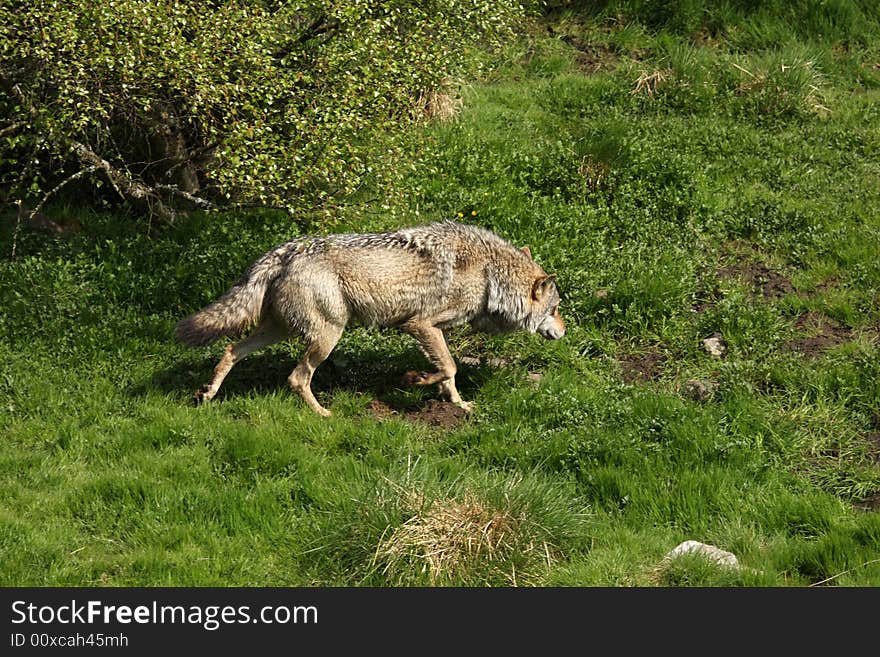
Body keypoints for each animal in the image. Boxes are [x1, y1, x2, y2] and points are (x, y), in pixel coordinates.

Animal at [175, 220, 568, 416]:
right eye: (556, 309)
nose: (565, 332)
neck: (490, 275)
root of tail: (284, 250)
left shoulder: (434, 331)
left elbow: (450, 374)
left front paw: (457, 404)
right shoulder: (420, 325)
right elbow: (450, 367)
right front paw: (415, 379)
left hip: (279, 331)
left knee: (230, 351)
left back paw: (207, 395)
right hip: (327, 335)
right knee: (296, 378)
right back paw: (323, 414)